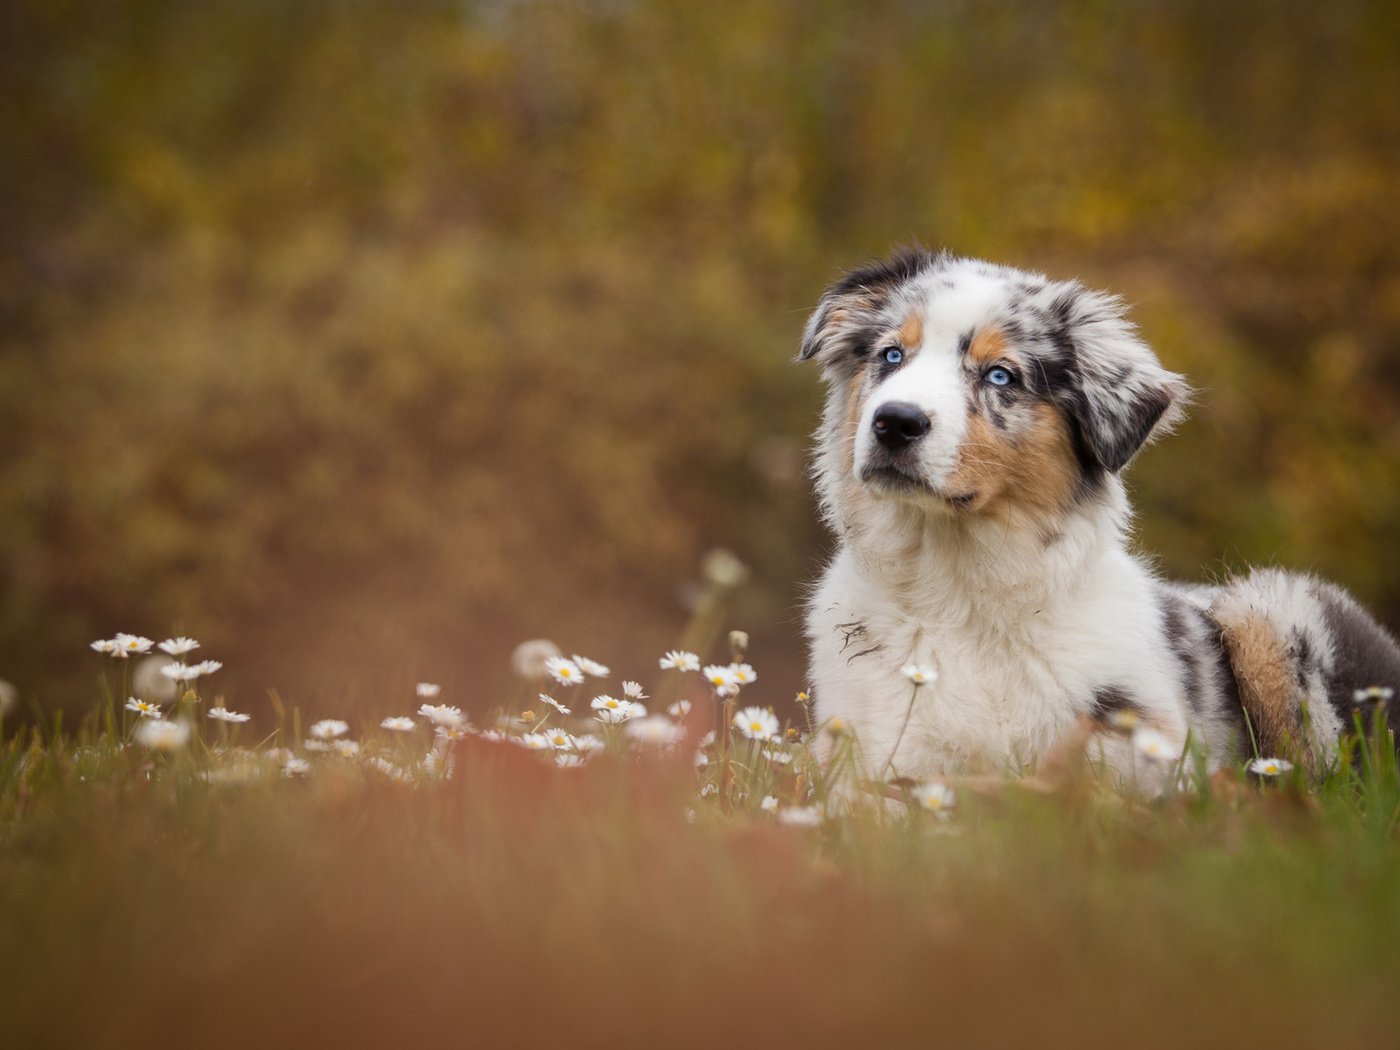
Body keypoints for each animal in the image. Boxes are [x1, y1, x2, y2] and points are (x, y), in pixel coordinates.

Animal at [800, 250, 1400, 784]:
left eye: (1000, 376)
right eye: (891, 355)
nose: (894, 422)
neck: (955, 587)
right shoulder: (879, 766)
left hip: (1270, 608)